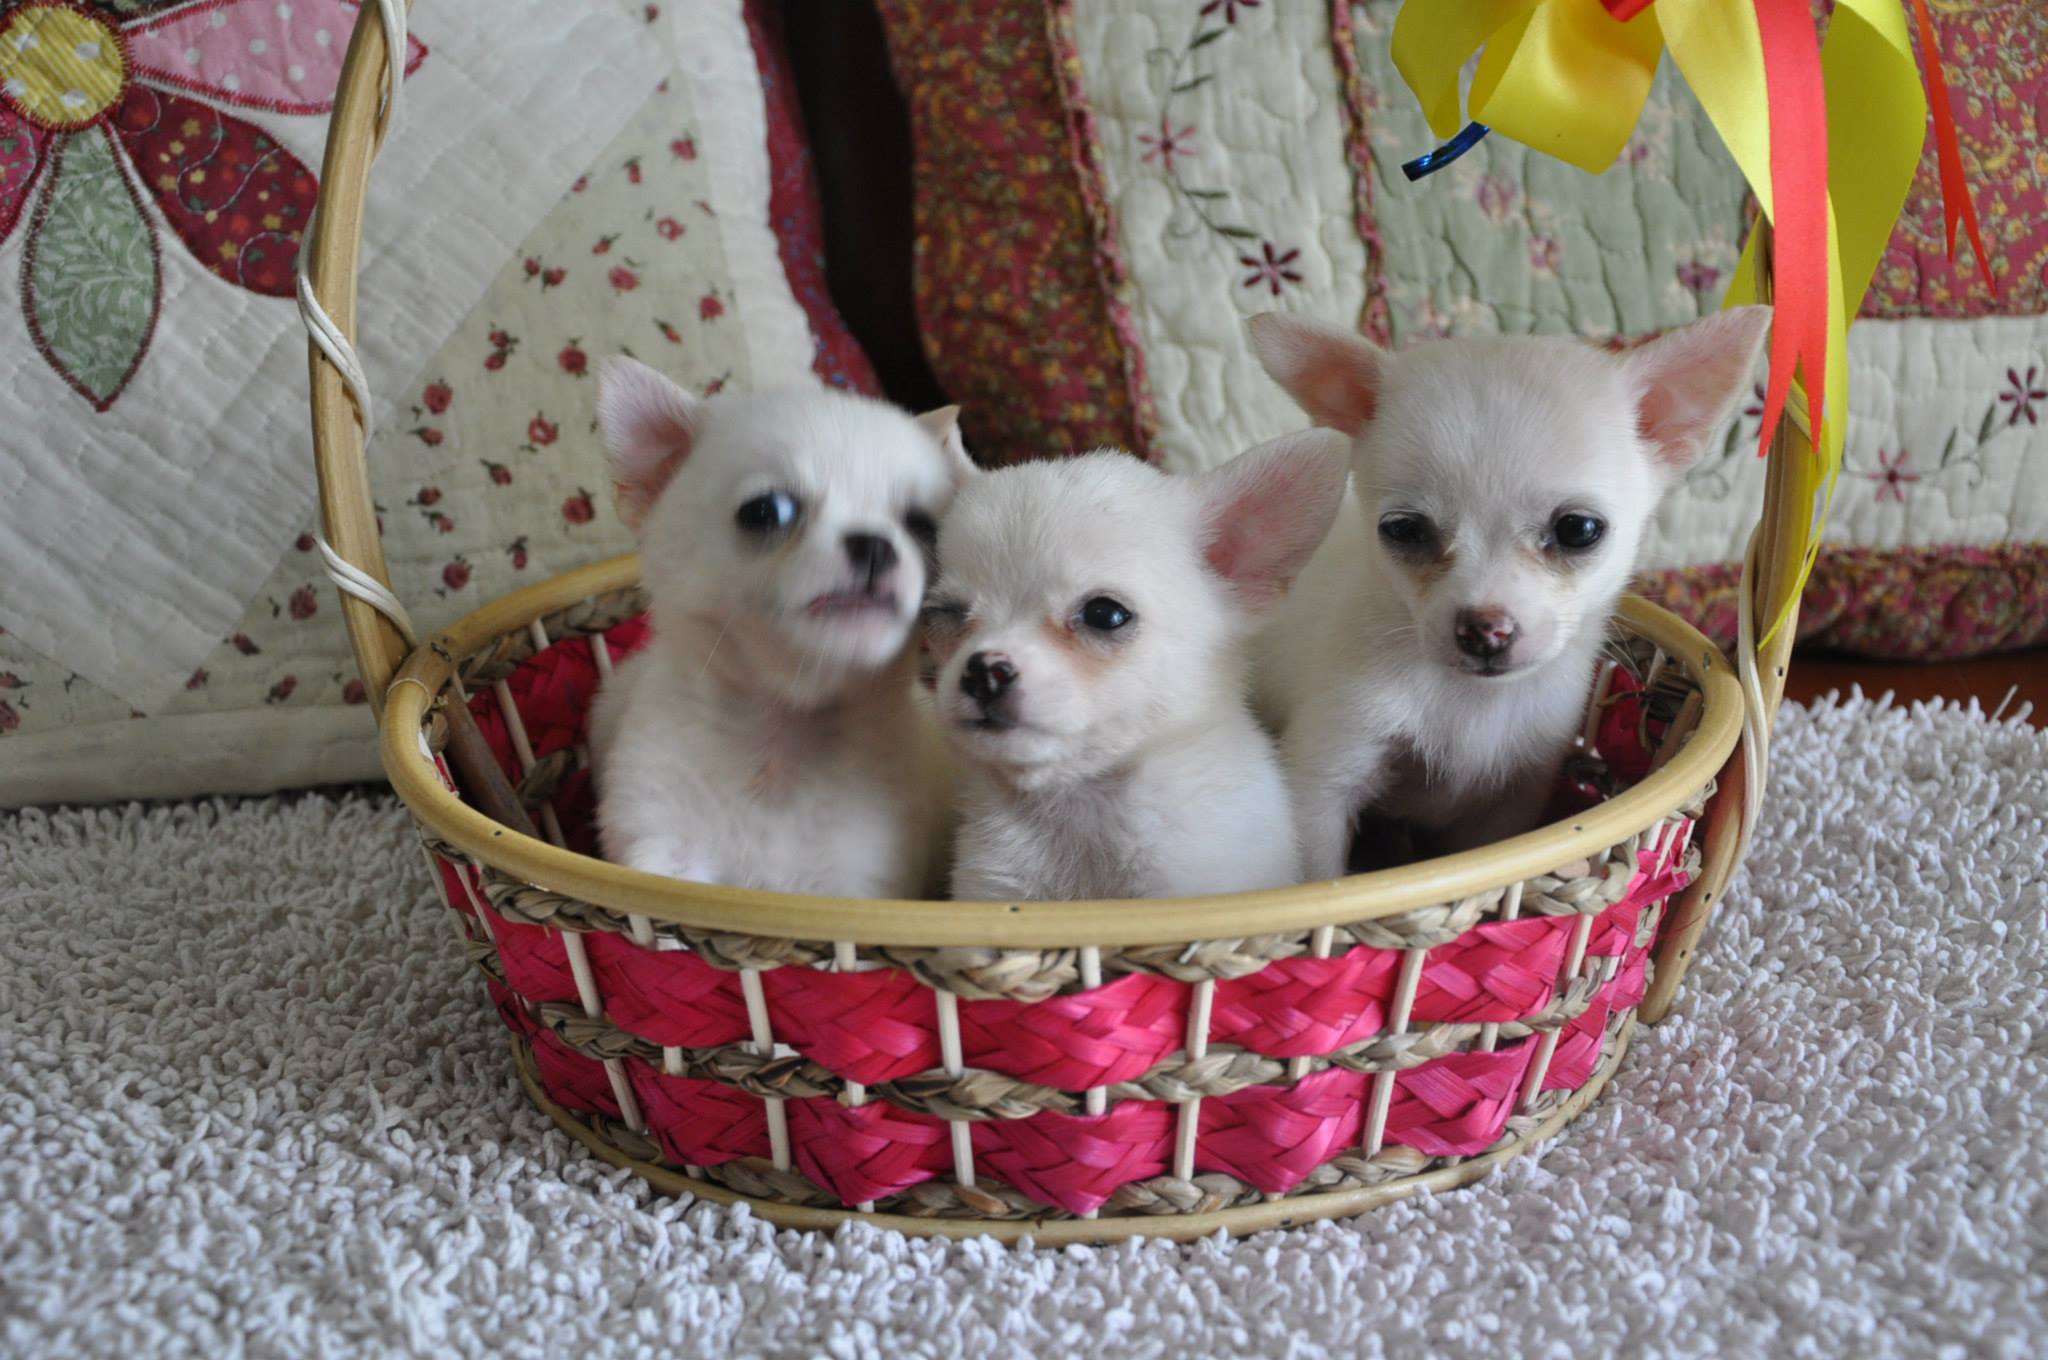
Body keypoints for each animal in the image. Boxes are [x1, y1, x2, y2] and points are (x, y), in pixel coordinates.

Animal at [588, 358, 971, 898]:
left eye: (923, 528)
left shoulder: (855, 885)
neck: (781, 736)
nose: (875, 544)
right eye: (766, 511)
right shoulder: (661, 846)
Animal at [1247, 306, 1772, 875]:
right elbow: (1319, 871)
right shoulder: (1325, 780)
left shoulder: (1509, 804)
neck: (1469, 702)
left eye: (1579, 529)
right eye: (1403, 529)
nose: (1485, 630)